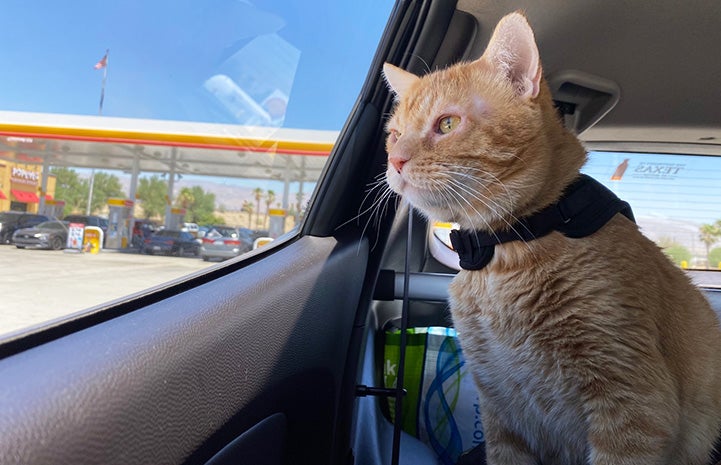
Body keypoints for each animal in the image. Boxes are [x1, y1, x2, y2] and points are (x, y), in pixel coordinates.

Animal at [386, 10, 720, 464]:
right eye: (393, 134)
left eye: (447, 124)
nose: (395, 160)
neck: (501, 252)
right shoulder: (501, 412)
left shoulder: (634, 408)